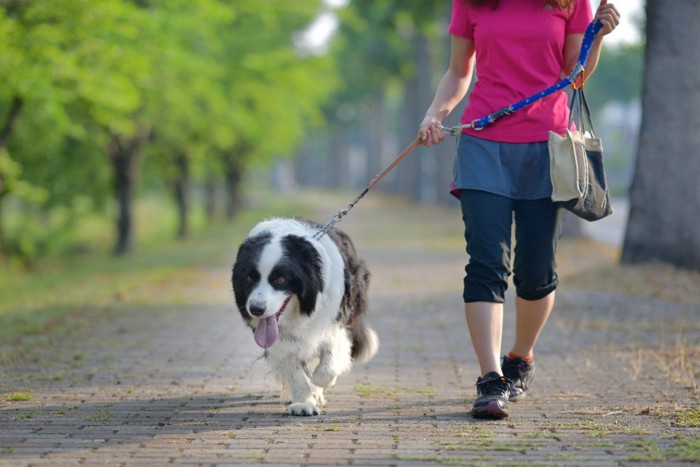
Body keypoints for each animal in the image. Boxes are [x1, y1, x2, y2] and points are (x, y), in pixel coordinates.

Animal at [231, 219, 378, 416]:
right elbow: (294, 371)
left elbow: (328, 363)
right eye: (249, 277)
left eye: (280, 279)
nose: (256, 309)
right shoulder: (280, 342)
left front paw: (319, 385)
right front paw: (304, 403)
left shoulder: (334, 320)